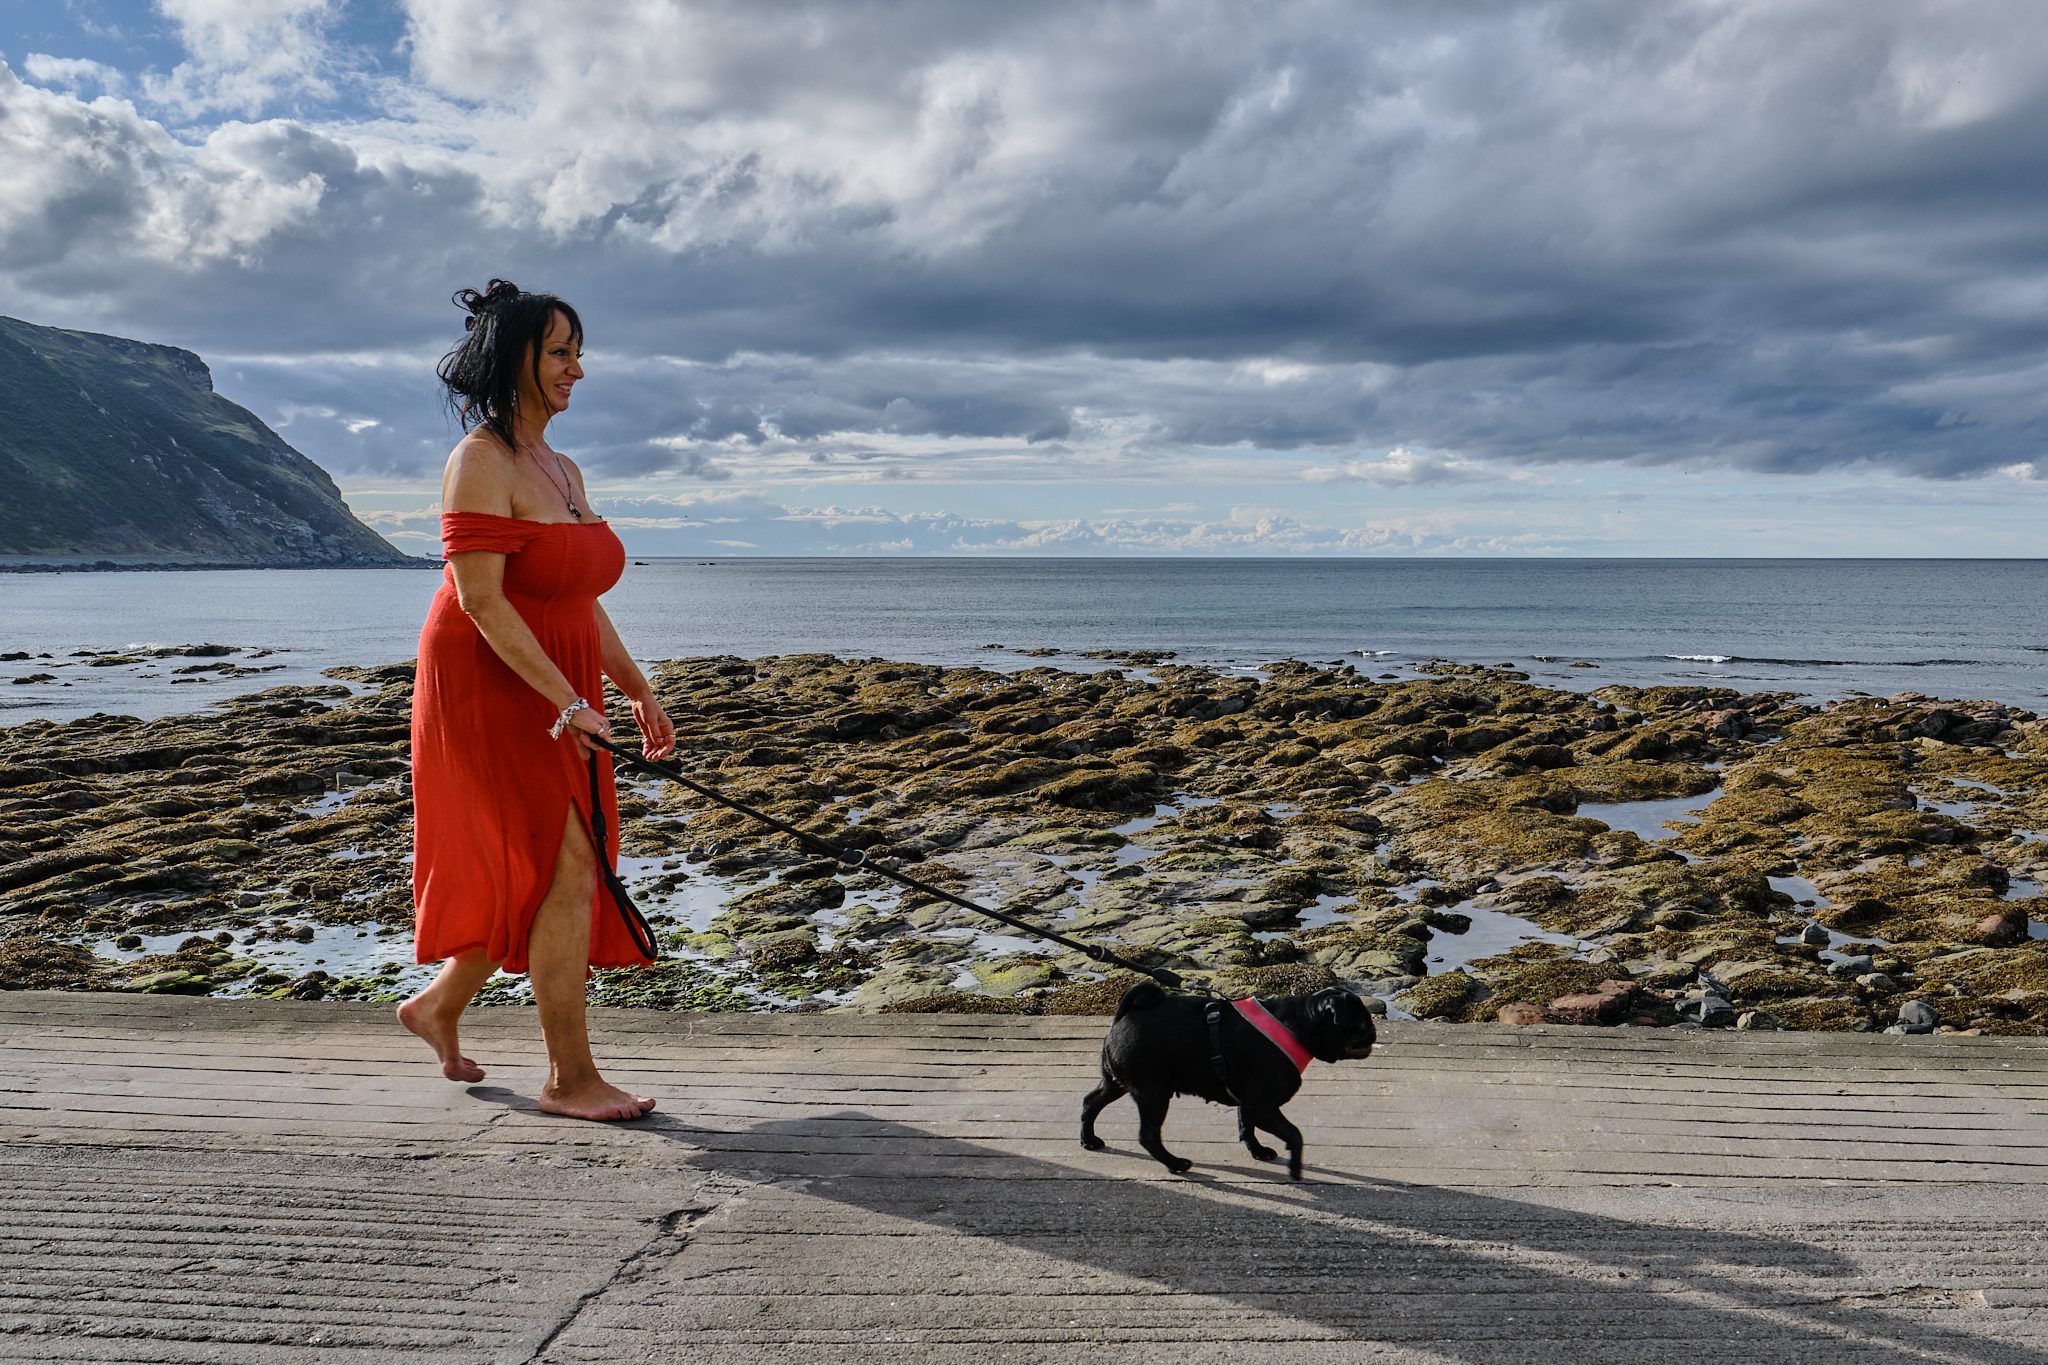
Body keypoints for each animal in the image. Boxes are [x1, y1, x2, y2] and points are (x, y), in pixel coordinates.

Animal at [1080, 981, 1378, 1180]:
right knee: (1148, 1135)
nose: (1373, 1032)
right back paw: (1176, 1164)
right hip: (1153, 1093)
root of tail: (1123, 1016)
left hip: (1115, 1083)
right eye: (1362, 1024)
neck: (1299, 1024)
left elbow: (1246, 1127)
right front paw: (1294, 1168)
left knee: (1090, 1102)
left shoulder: (1249, 1103)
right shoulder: (1262, 1106)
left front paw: (1258, 1152)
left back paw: (1089, 1140)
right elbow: (1294, 1134)